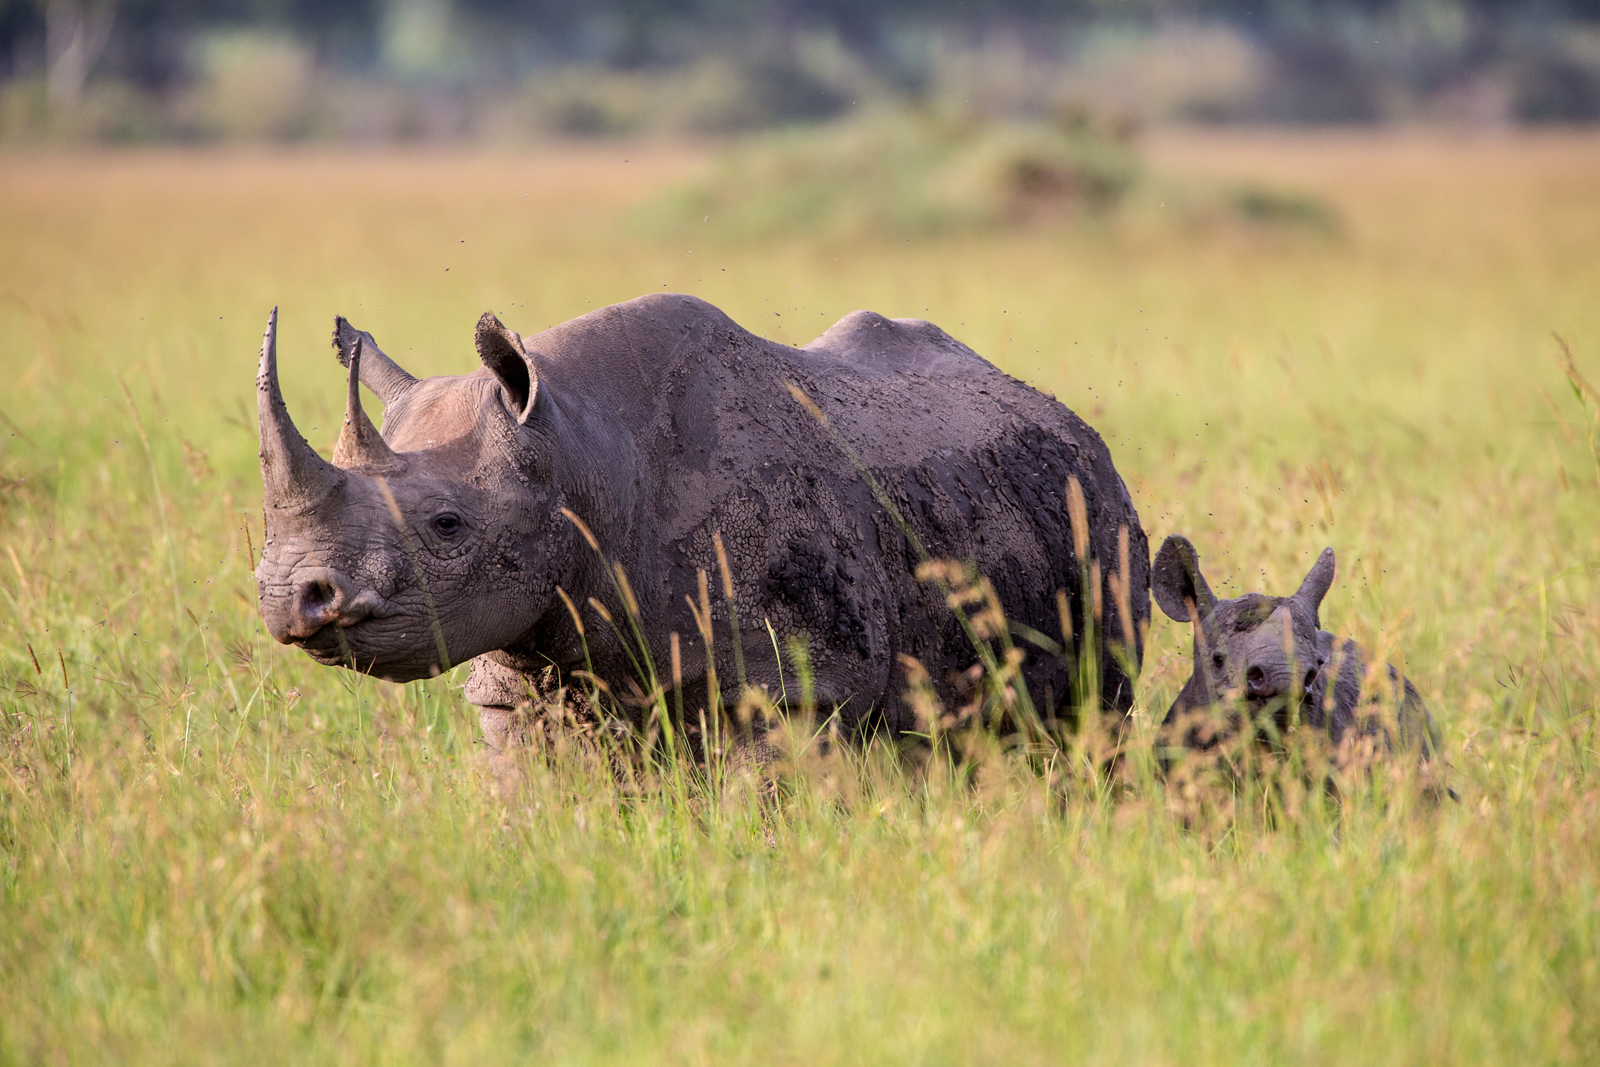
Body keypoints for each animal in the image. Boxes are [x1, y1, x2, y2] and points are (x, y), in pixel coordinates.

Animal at [252, 292, 1152, 742]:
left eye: (446, 525)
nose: (288, 597)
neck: (581, 451)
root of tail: (1075, 424)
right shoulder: (518, 673)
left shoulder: (796, 685)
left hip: (1097, 515)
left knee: (1085, 722)